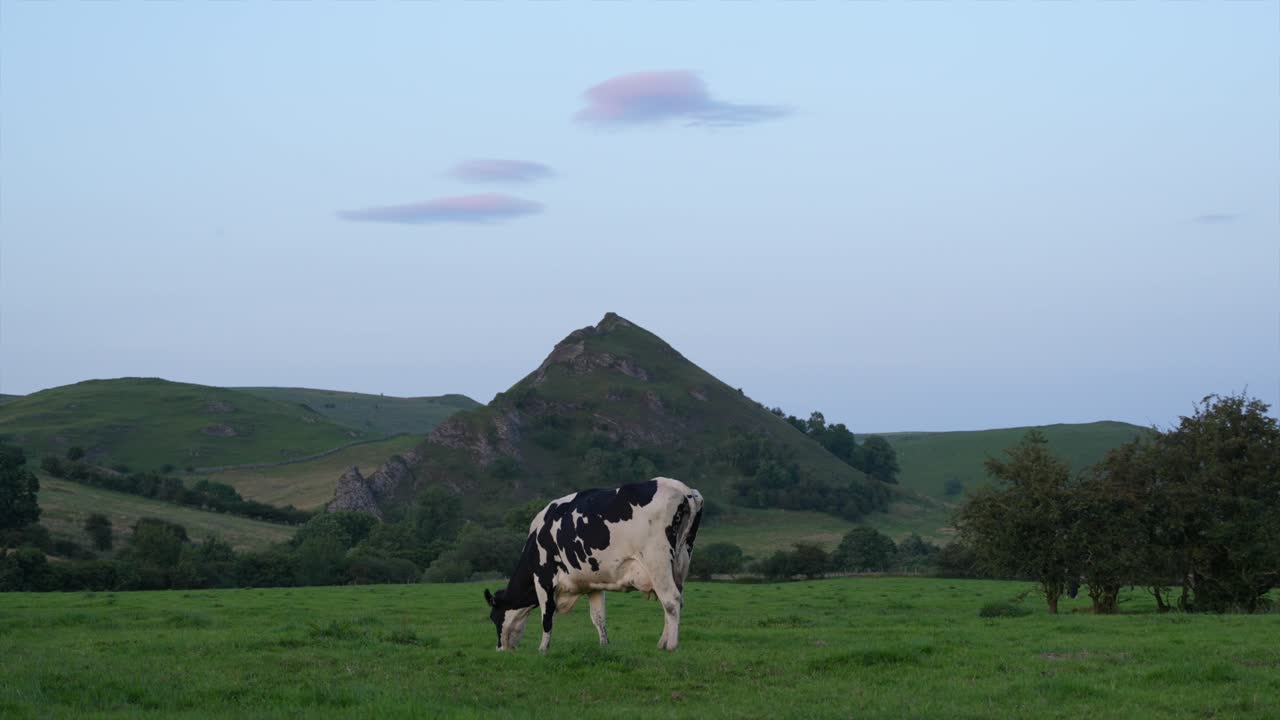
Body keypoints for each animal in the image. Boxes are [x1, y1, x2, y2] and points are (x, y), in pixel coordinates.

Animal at [483, 477, 704, 653]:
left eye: (494, 617)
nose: (500, 648)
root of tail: (682, 489)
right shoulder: (593, 584)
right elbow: (598, 618)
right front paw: (604, 645)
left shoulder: (543, 579)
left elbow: (547, 617)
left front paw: (542, 649)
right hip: (681, 562)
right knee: (677, 600)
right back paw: (662, 642)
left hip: (657, 561)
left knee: (671, 600)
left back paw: (671, 646)